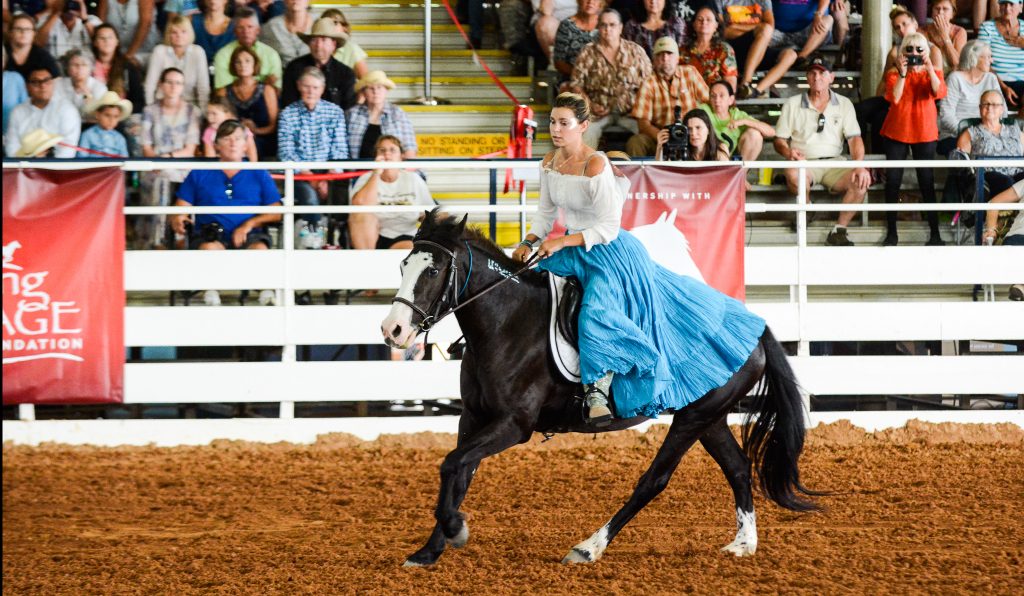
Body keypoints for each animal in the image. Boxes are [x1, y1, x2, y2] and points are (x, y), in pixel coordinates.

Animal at [380, 213, 819, 569]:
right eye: (403, 264)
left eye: (433, 270)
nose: (392, 330)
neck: (507, 321)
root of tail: (756, 328)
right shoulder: (474, 417)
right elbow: (458, 472)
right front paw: (429, 550)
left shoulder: (513, 425)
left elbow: (452, 464)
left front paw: (456, 529)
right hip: (707, 416)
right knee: (738, 468)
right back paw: (743, 544)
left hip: (694, 417)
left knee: (654, 480)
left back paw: (588, 547)